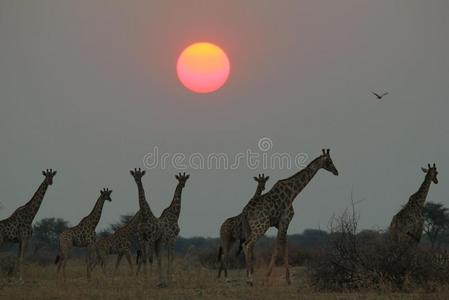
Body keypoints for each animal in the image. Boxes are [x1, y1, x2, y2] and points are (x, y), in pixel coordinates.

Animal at [242, 150, 336, 286]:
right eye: (329, 161)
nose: (336, 171)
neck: (293, 192)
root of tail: (245, 211)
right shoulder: (285, 221)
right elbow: (277, 248)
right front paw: (267, 278)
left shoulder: (282, 224)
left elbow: (285, 247)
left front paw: (288, 279)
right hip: (261, 226)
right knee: (249, 245)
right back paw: (250, 279)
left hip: (249, 228)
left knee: (245, 245)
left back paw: (248, 278)